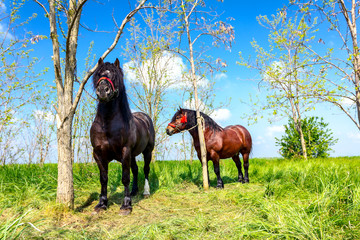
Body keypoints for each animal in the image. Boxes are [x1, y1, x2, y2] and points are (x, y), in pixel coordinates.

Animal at [90, 57, 155, 215]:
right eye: (98, 74)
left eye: (114, 76)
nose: (103, 90)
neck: (108, 125)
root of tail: (145, 117)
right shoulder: (98, 154)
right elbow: (103, 178)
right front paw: (102, 204)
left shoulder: (125, 151)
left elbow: (125, 177)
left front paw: (126, 206)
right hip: (133, 155)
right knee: (136, 170)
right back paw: (133, 191)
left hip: (147, 151)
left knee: (145, 169)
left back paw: (145, 192)